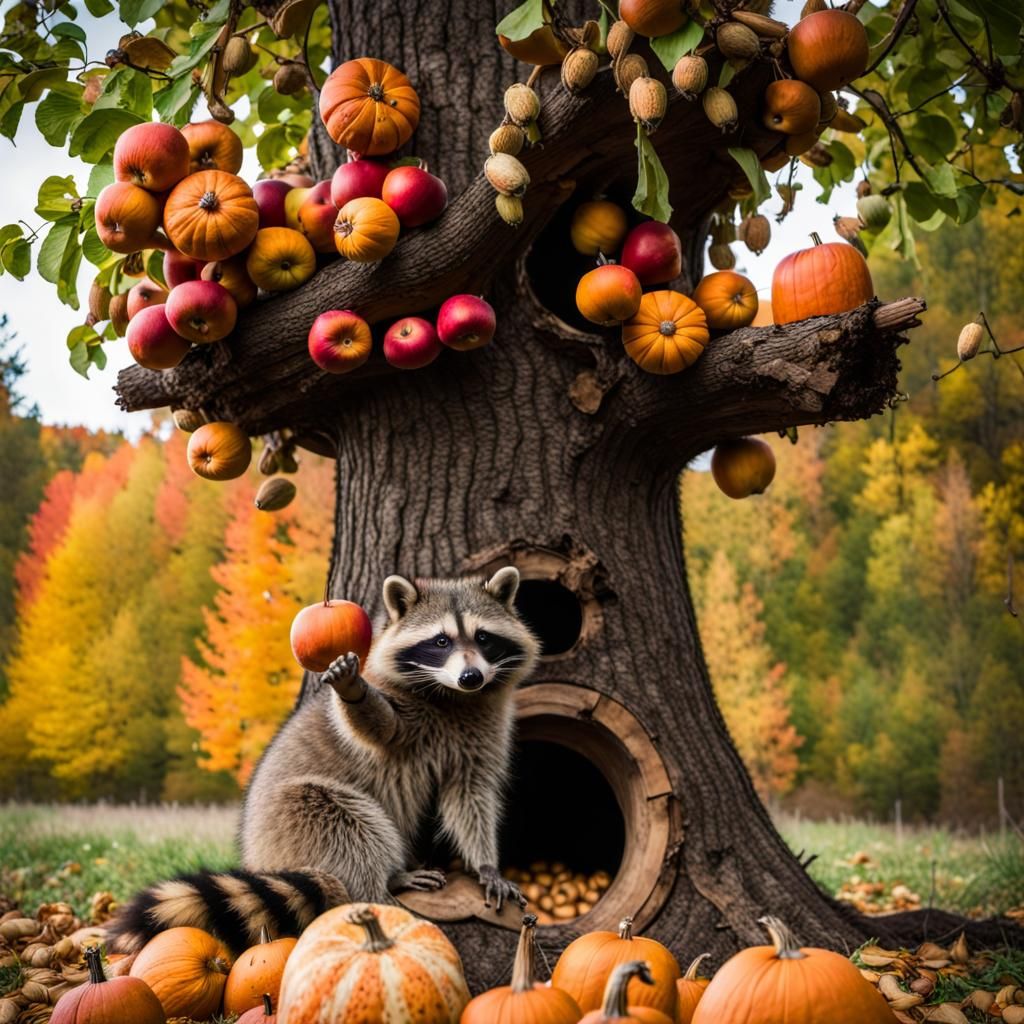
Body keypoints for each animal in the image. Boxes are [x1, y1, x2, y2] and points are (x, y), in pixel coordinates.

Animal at [109, 567, 539, 953]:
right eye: (441, 641)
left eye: (483, 638)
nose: (471, 676)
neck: (453, 697)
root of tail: (258, 855)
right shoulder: (402, 717)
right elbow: (376, 730)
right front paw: (352, 690)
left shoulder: (482, 733)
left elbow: (471, 798)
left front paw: (485, 864)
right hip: (297, 813)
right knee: (354, 825)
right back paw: (385, 882)